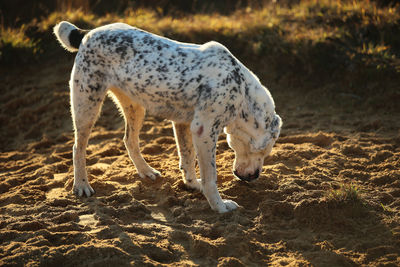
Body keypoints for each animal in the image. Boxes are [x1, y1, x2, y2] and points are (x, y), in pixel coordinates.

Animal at [54, 21, 282, 214]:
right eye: (263, 151)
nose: (255, 177)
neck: (241, 91)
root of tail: (87, 33)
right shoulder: (204, 130)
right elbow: (210, 176)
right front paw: (219, 206)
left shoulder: (184, 124)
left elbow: (187, 158)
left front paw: (193, 185)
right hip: (87, 105)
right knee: (78, 147)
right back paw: (81, 185)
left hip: (135, 106)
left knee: (129, 140)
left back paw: (146, 171)